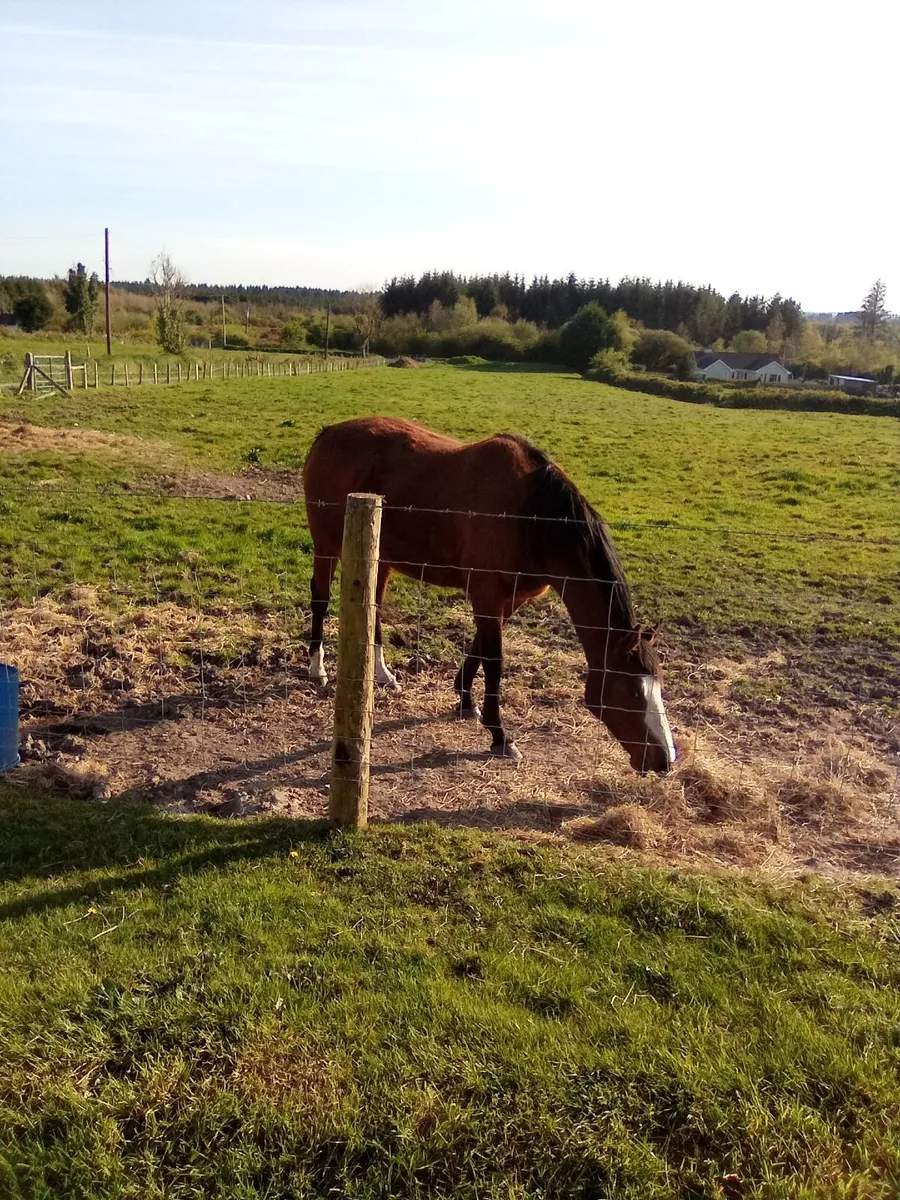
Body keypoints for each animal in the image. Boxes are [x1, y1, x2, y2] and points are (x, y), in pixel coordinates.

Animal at [302, 416, 676, 774]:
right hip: (326, 544)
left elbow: (480, 647)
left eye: (659, 684)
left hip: (381, 556)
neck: (532, 515)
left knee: (374, 606)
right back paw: (317, 670)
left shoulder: (511, 599)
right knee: (320, 599)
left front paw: (466, 700)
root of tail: (328, 433)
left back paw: (382, 673)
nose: (666, 760)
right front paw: (500, 736)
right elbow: (494, 661)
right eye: (632, 690)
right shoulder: (486, 594)